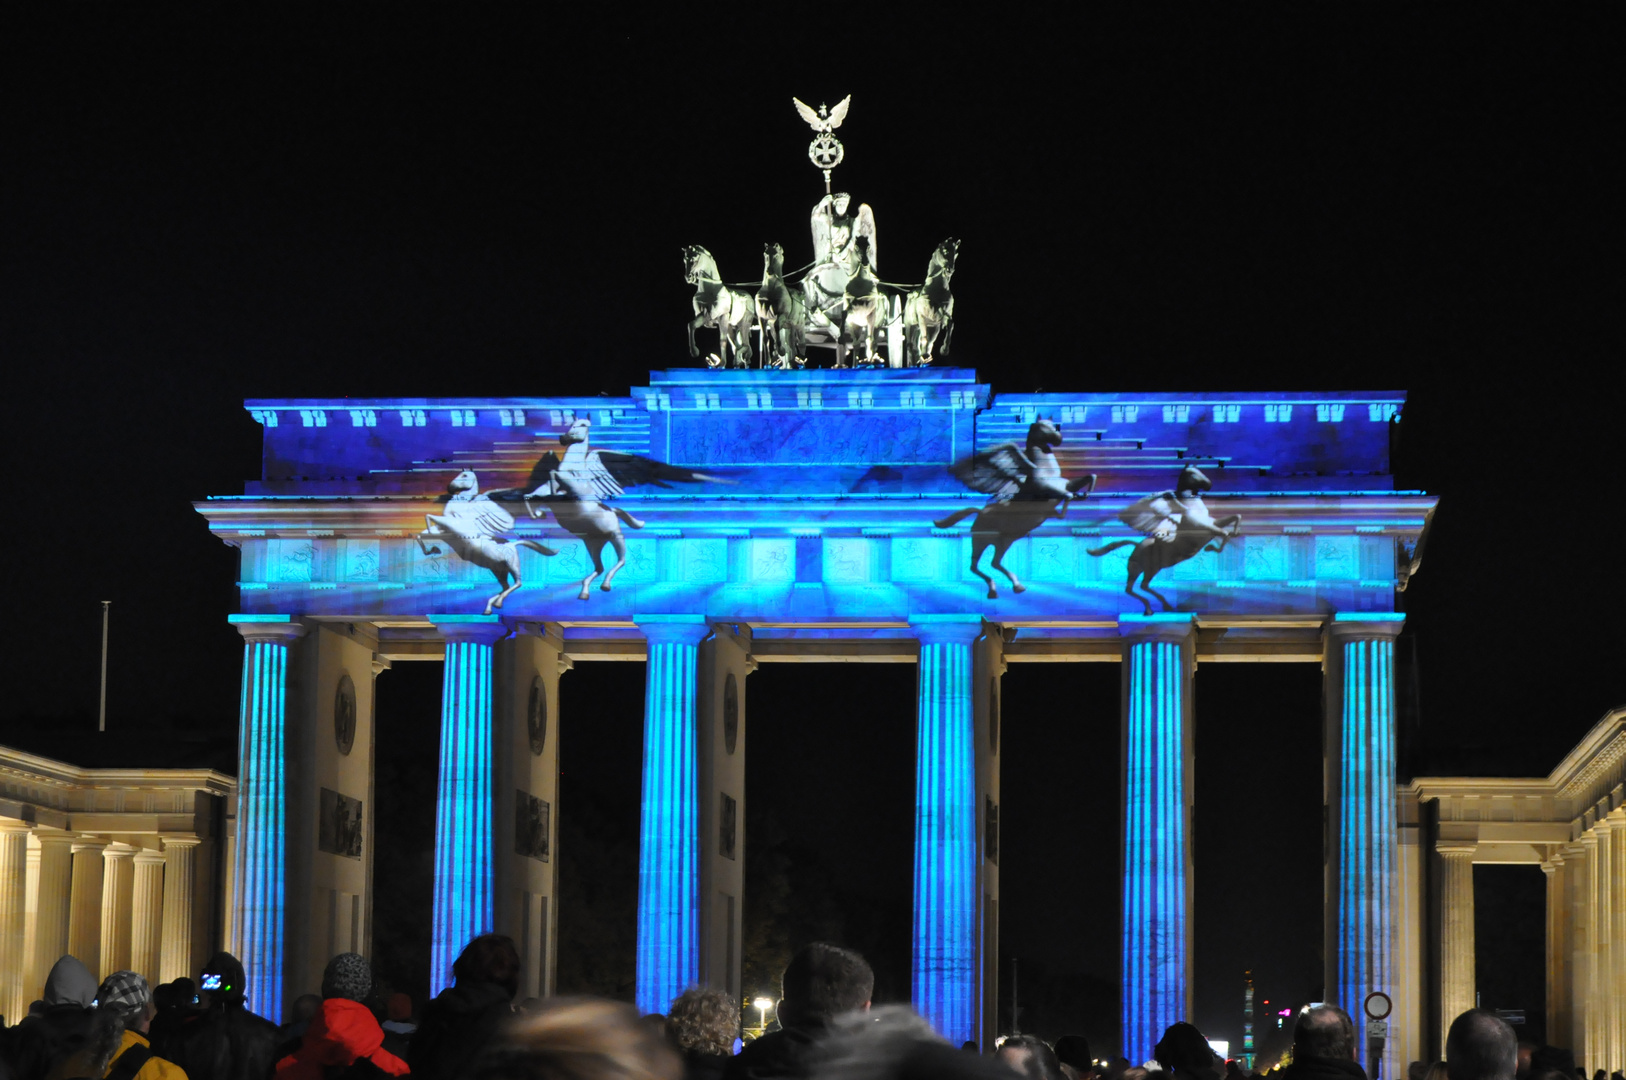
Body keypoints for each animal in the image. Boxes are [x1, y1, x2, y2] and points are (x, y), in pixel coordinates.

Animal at [416, 468, 562, 611]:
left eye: (464, 475)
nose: (450, 488)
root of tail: (513, 545)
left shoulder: (450, 526)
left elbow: (428, 518)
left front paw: (435, 548)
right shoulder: (443, 529)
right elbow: (421, 534)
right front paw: (433, 550)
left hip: (512, 565)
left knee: (518, 583)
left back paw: (497, 603)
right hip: (498, 569)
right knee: (506, 586)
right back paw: (491, 606)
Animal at [510, 416, 734, 598]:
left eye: (581, 425)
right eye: (571, 425)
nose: (562, 439)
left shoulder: (577, 490)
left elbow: (556, 477)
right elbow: (537, 489)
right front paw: (536, 511)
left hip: (616, 537)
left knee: (621, 561)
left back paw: (605, 585)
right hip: (593, 543)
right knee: (599, 567)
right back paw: (585, 591)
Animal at [936, 414, 1099, 598]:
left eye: (1054, 425)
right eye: (1041, 427)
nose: (1058, 439)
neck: (1046, 470)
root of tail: (979, 512)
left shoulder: (1065, 485)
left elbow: (1090, 476)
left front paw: (1084, 495)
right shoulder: (1049, 490)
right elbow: (1067, 497)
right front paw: (1068, 505)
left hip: (1003, 541)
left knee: (994, 563)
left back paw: (1016, 586)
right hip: (980, 540)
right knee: (974, 566)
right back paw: (995, 589)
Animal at [1092, 465, 1242, 614]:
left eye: (1200, 470)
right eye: (1192, 474)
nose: (1209, 485)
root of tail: (1136, 546)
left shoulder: (1213, 525)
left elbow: (1236, 517)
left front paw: (1234, 533)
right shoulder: (1205, 528)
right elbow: (1224, 534)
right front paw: (1211, 548)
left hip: (1147, 569)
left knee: (1138, 587)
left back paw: (1160, 606)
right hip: (1144, 569)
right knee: (1137, 587)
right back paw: (1152, 608)